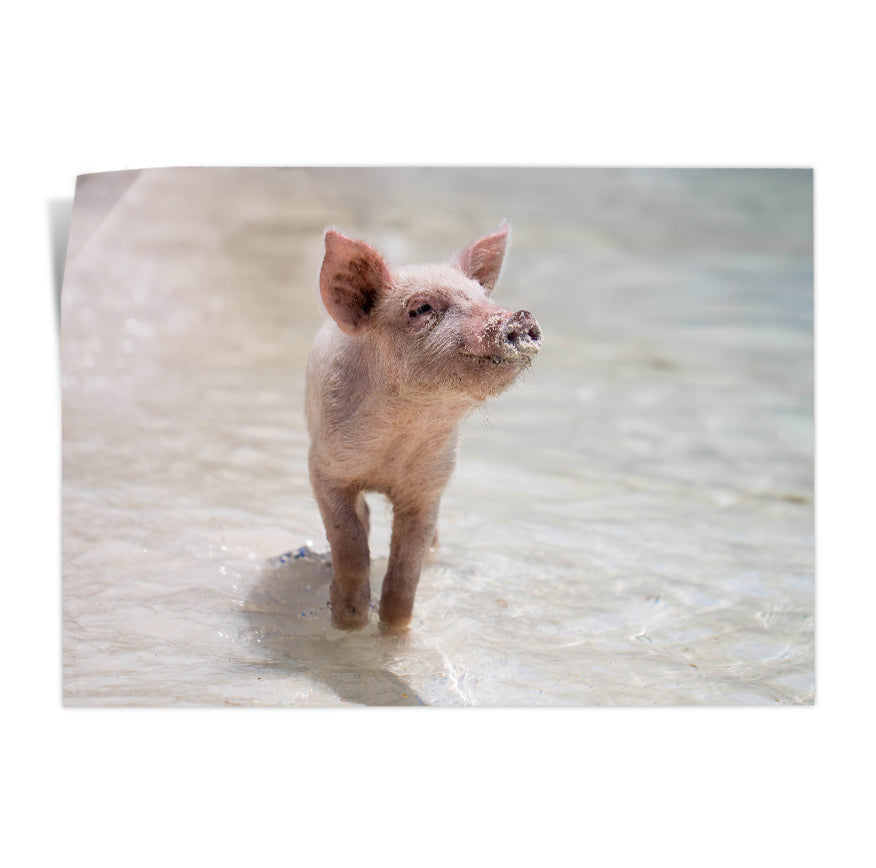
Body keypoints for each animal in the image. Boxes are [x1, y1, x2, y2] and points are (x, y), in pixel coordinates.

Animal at [305, 222, 541, 630]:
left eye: (483, 297)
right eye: (421, 308)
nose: (520, 317)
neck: (402, 434)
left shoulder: (430, 486)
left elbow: (407, 567)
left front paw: (394, 628)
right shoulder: (324, 467)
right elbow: (348, 540)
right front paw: (350, 620)